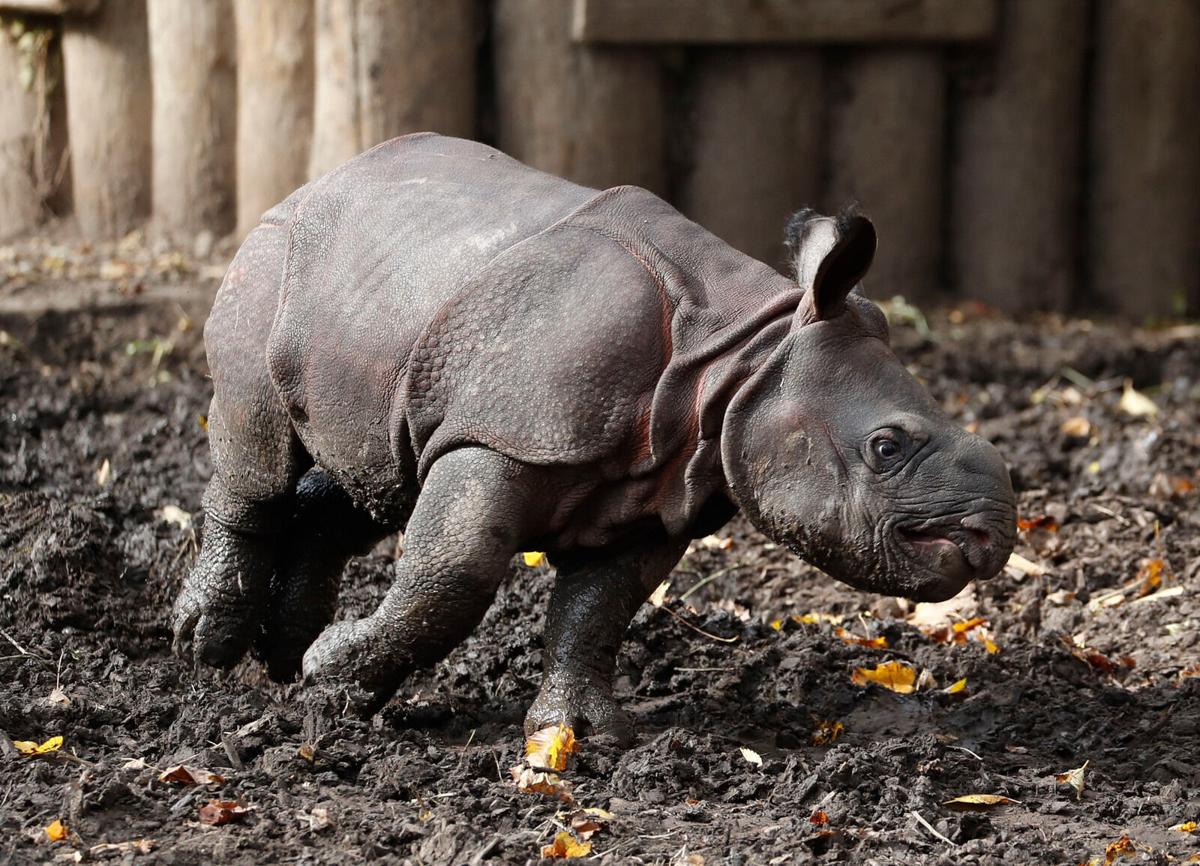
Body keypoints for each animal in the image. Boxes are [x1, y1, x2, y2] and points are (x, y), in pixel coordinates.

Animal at [173, 133, 1016, 737]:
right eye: (886, 448)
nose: (991, 536)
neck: (745, 354)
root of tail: (317, 181)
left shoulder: (664, 485)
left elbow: (599, 606)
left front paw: (581, 736)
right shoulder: (504, 433)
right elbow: (454, 573)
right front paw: (332, 681)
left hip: (391, 312)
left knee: (376, 478)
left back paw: (279, 655)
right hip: (271, 261)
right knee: (258, 445)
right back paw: (208, 648)